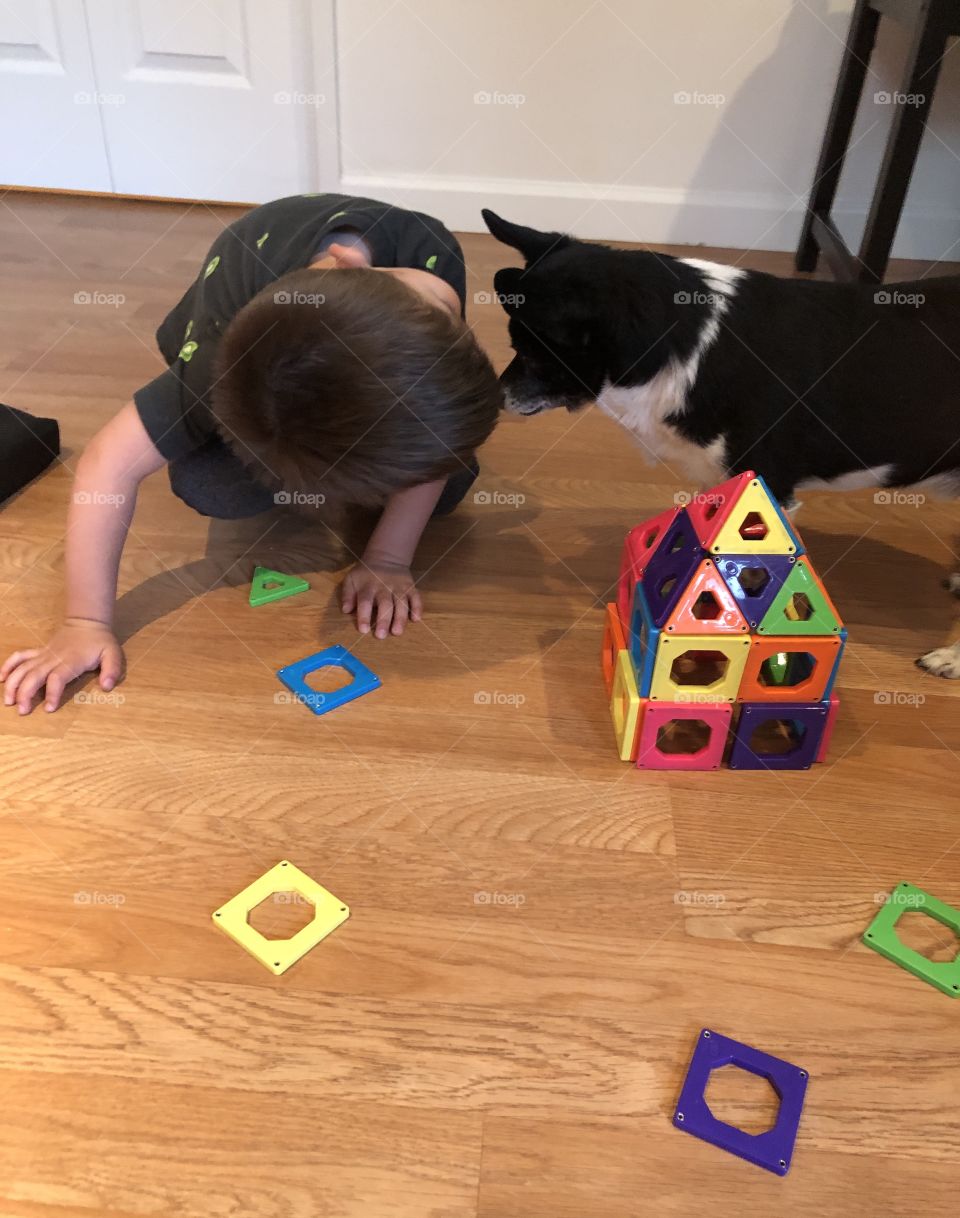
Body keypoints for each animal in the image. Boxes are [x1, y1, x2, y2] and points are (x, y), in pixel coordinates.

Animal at [484, 213, 960, 682]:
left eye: (532, 354)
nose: (493, 397)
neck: (687, 345)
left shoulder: (769, 494)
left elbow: (751, 577)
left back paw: (950, 656)